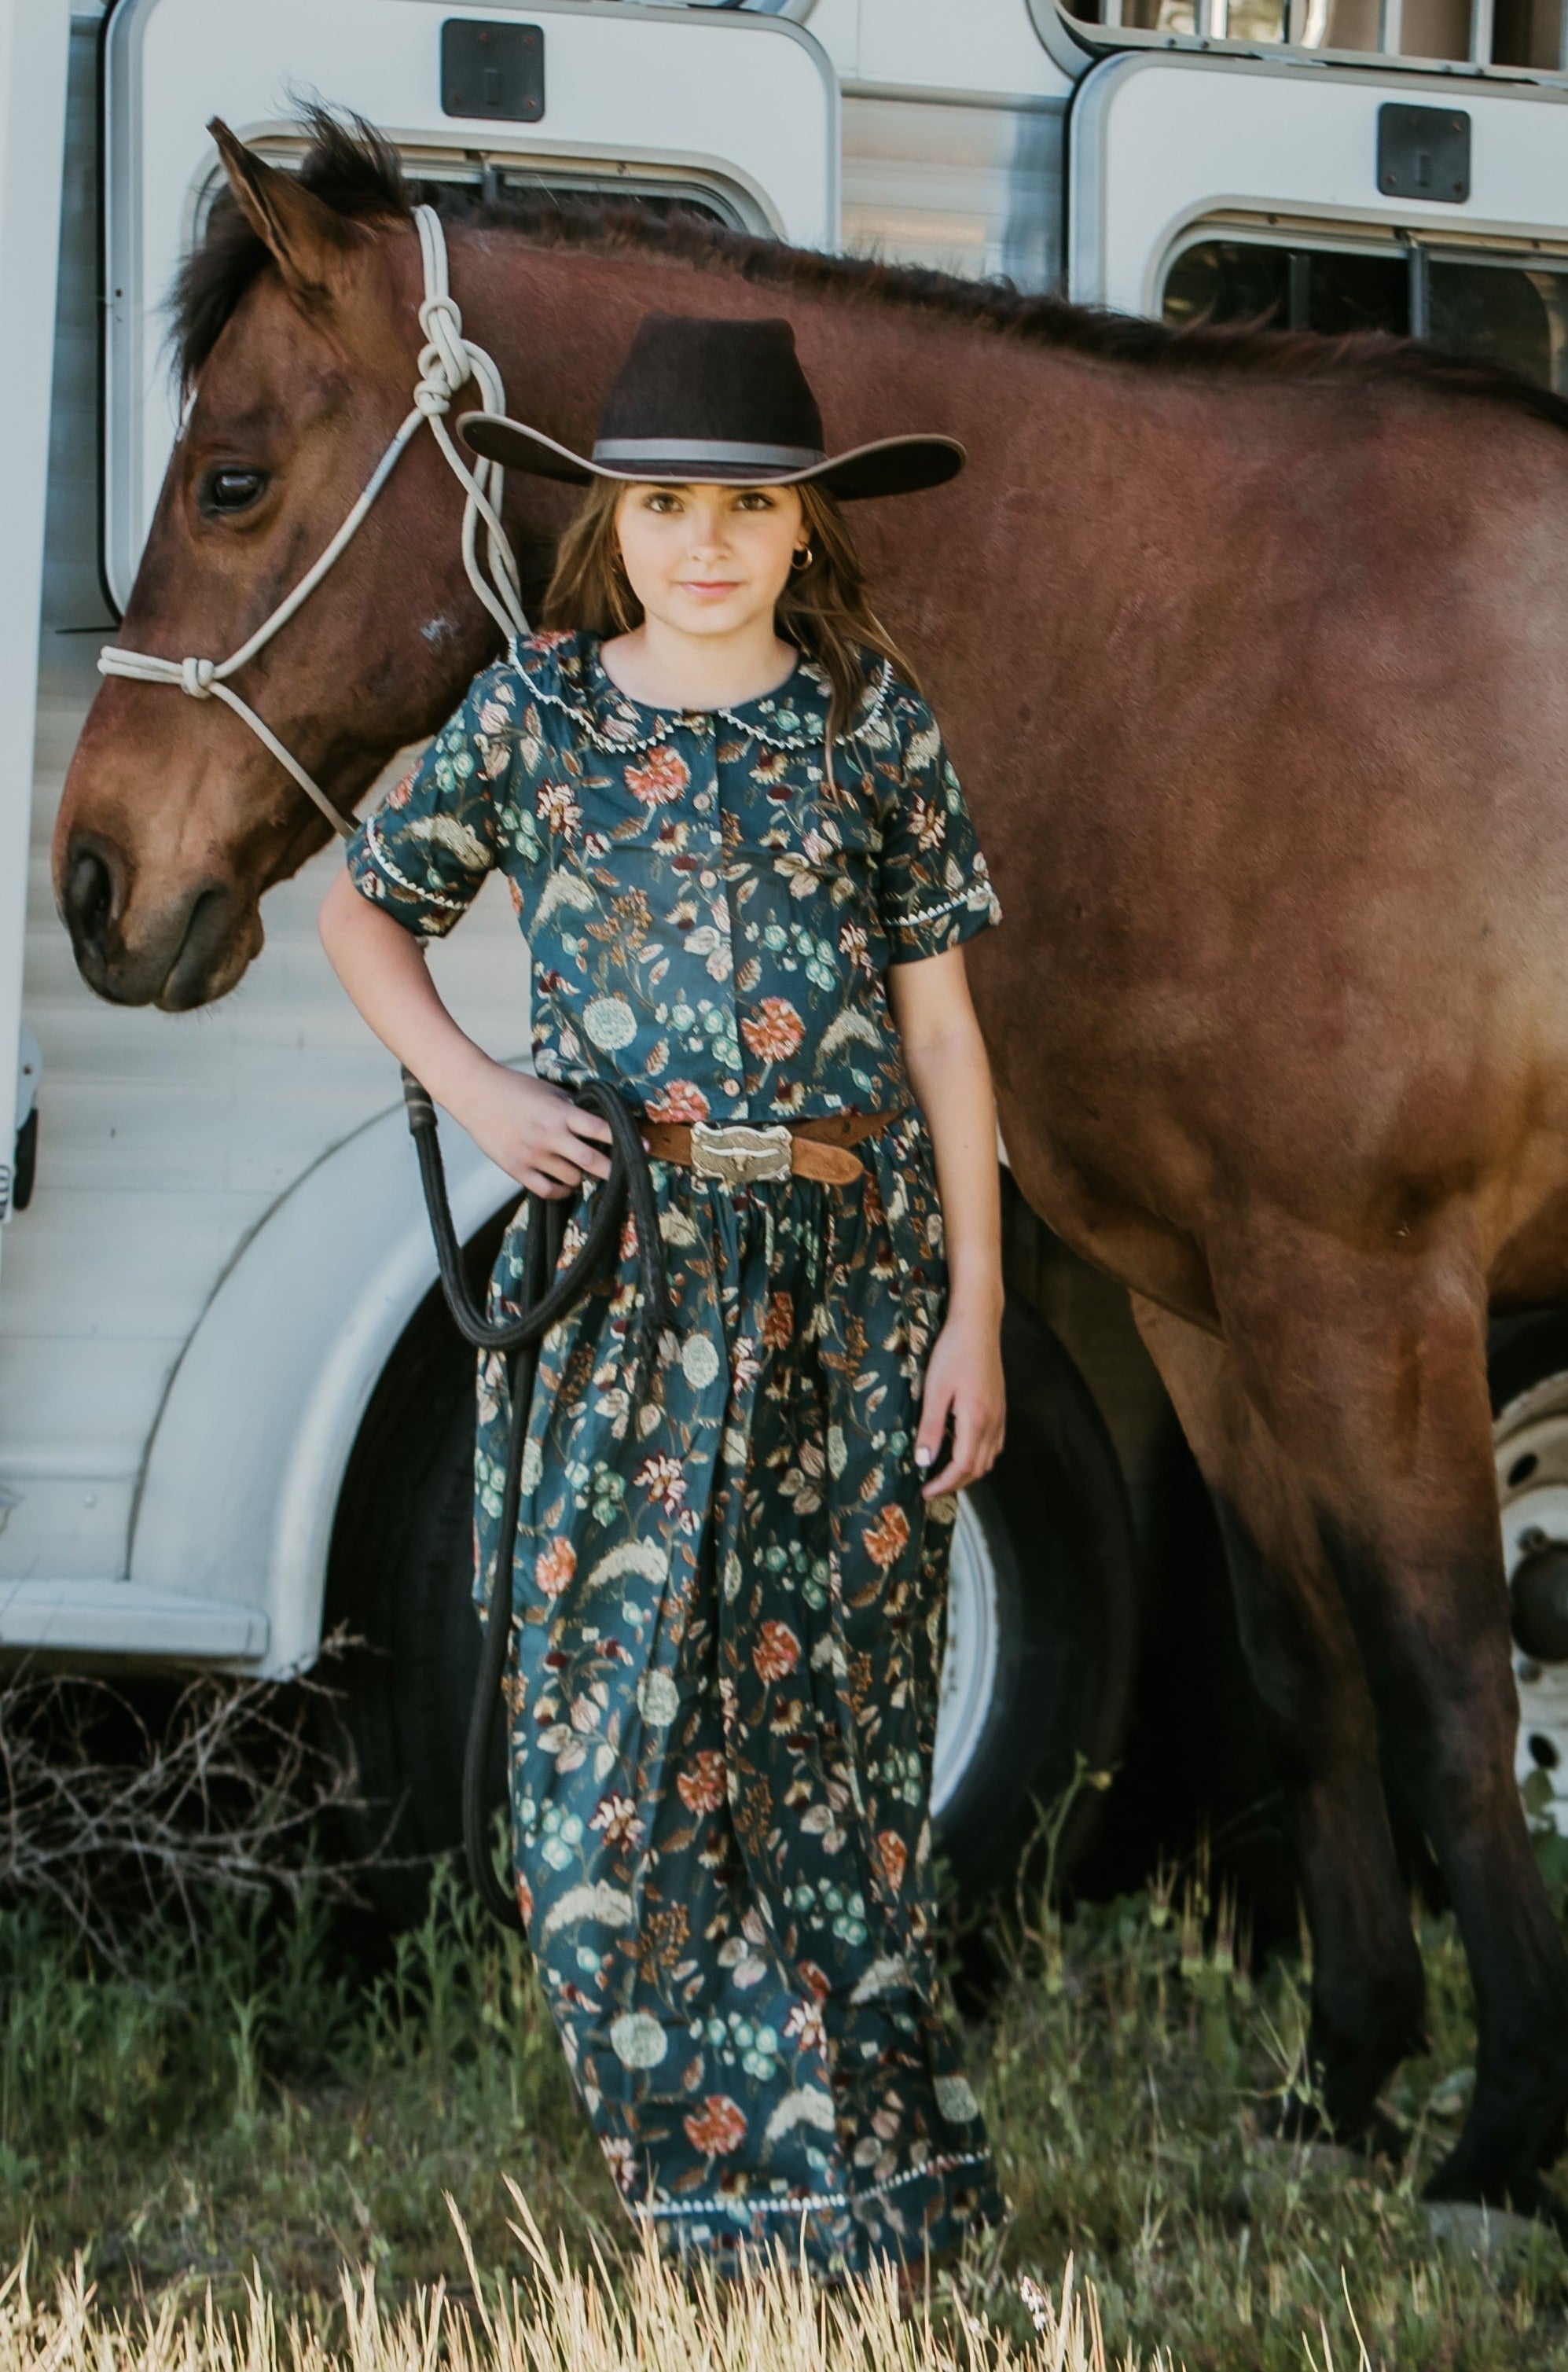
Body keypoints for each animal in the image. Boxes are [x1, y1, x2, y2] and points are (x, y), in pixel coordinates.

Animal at [57, 116, 1568, 2219]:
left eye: (230, 476)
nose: (94, 882)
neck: (1225, 655)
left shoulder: (1374, 1295)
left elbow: (1448, 1685)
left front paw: (1502, 2139)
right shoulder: (1214, 1305)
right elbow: (1305, 1666)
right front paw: (1339, 2080)